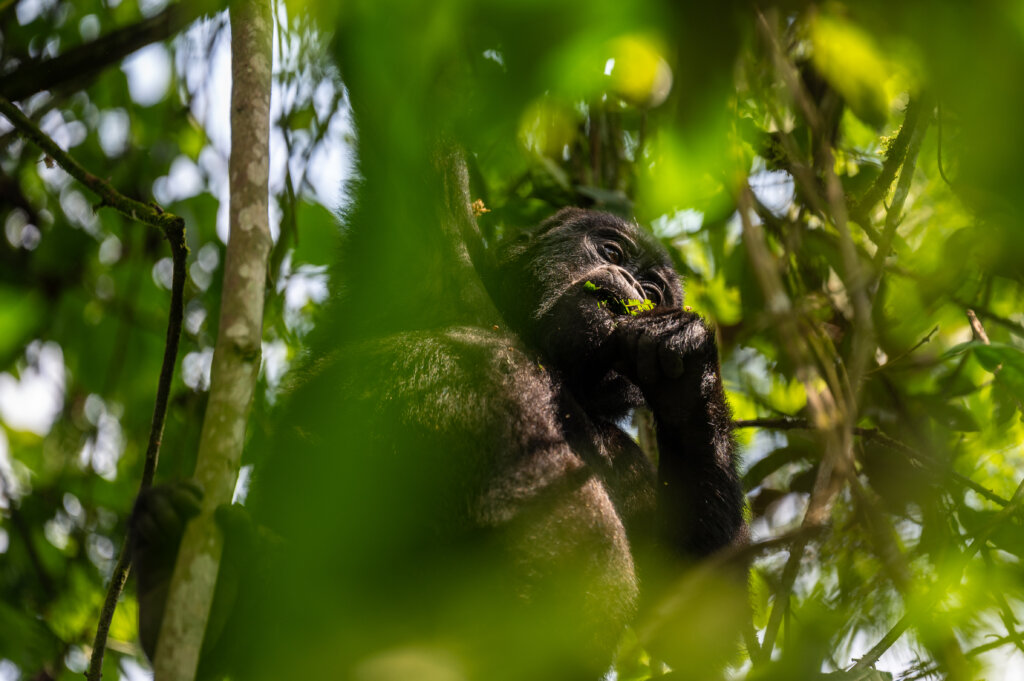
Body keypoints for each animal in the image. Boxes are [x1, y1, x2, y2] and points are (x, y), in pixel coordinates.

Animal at [132, 205, 749, 679]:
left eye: (655, 291)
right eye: (613, 249)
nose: (632, 288)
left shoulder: (630, 460)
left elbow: (692, 621)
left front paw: (688, 369)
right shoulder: (432, 240)